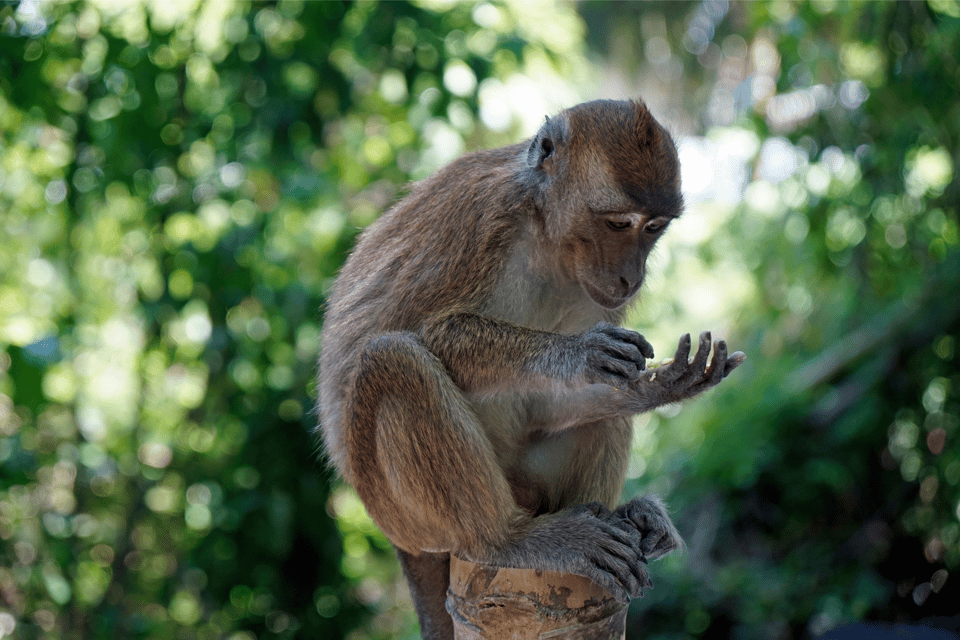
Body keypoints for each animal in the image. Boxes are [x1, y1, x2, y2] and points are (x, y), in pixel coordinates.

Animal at [318, 97, 748, 636]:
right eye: (618, 223)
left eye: (654, 227)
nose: (631, 277)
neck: (547, 235)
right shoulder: (483, 216)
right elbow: (423, 330)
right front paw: (577, 353)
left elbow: (570, 396)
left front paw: (663, 385)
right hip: (400, 512)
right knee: (391, 358)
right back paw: (509, 540)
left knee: (601, 412)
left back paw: (625, 514)